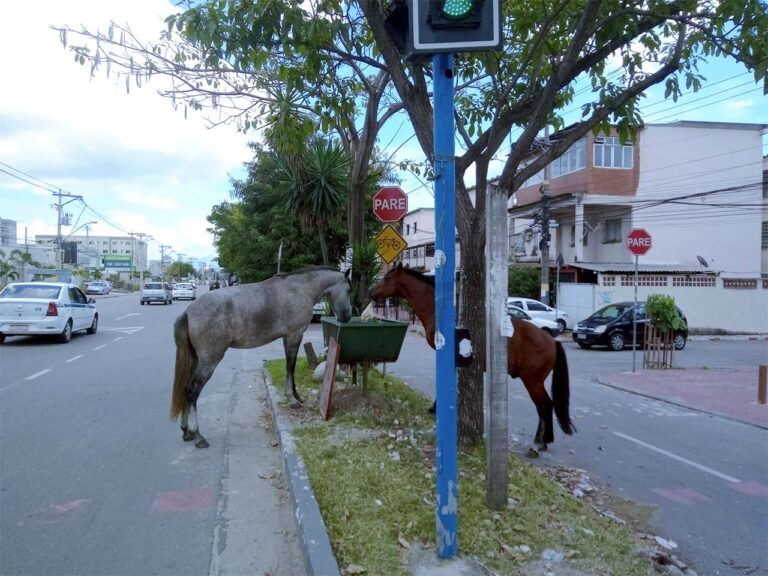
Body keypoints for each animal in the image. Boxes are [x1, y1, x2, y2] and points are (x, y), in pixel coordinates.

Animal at [170, 268, 352, 448]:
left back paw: (186, 430)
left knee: (186, 388)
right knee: (193, 390)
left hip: (196, 360)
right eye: (349, 290)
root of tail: (188, 312)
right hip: (209, 361)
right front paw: (291, 399)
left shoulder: (287, 338)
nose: (347, 317)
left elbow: (290, 368)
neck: (298, 289)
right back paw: (197, 435)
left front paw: (296, 396)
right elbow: (290, 367)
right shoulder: (294, 335)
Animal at [368, 262, 572, 454]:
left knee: (544, 406)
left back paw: (538, 443)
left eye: (386, 278)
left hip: (532, 381)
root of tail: (552, 340)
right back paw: (545, 441)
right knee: (548, 405)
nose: (371, 293)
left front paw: (436, 407)